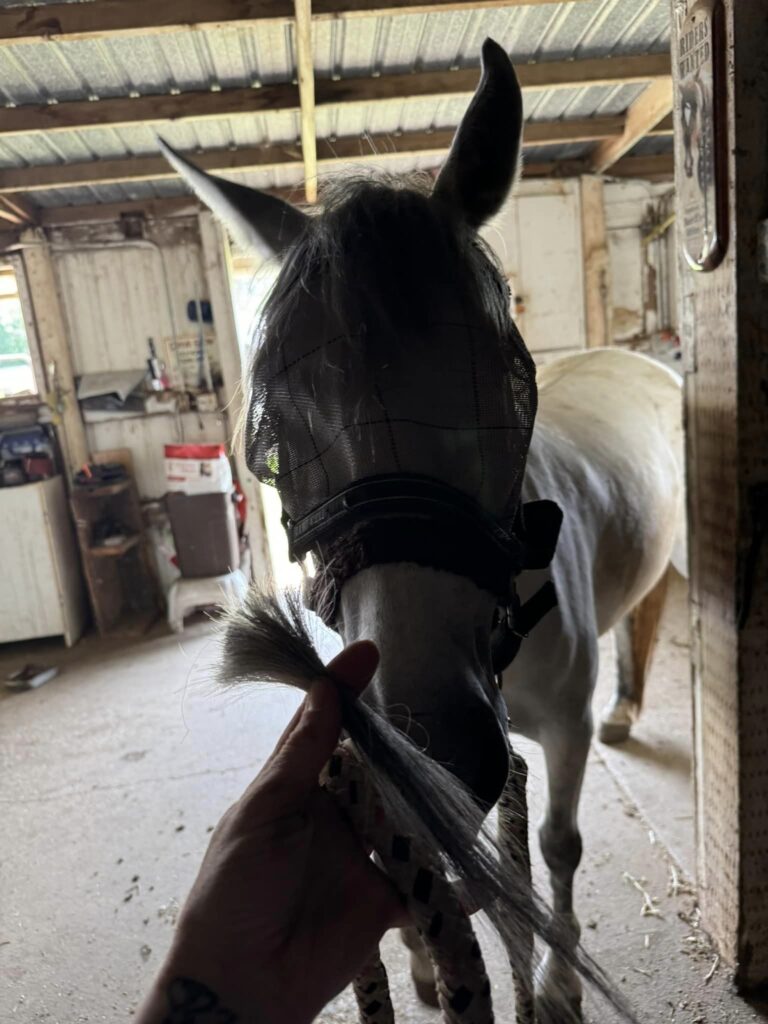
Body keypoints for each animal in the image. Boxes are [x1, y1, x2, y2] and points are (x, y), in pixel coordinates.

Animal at [159, 38, 678, 1022]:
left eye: (510, 380)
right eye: (273, 437)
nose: (429, 741)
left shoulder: (561, 732)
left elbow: (557, 844)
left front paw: (556, 982)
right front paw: (429, 964)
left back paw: (632, 711)